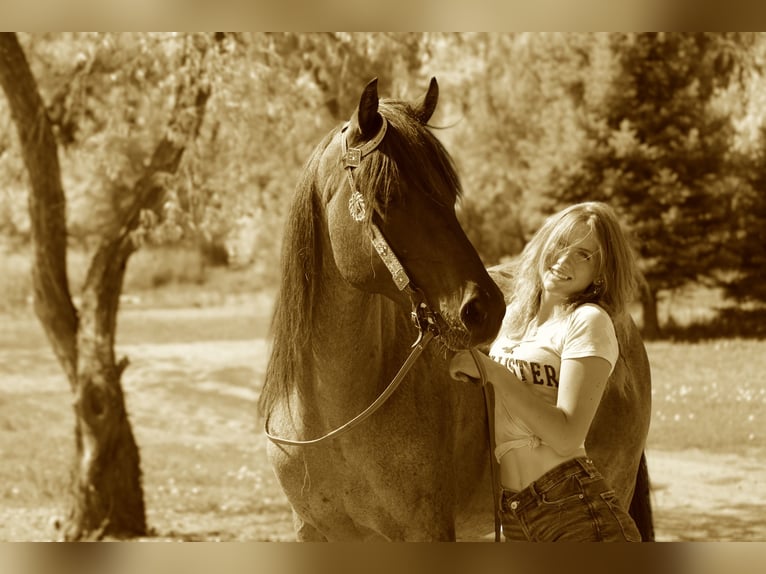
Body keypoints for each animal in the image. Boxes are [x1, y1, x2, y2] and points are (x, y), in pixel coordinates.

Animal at [258, 77, 653, 541]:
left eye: (448, 193)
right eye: (389, 195)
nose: (485, 309)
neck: (334, 417)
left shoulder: (426, 530)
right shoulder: (312, 531)